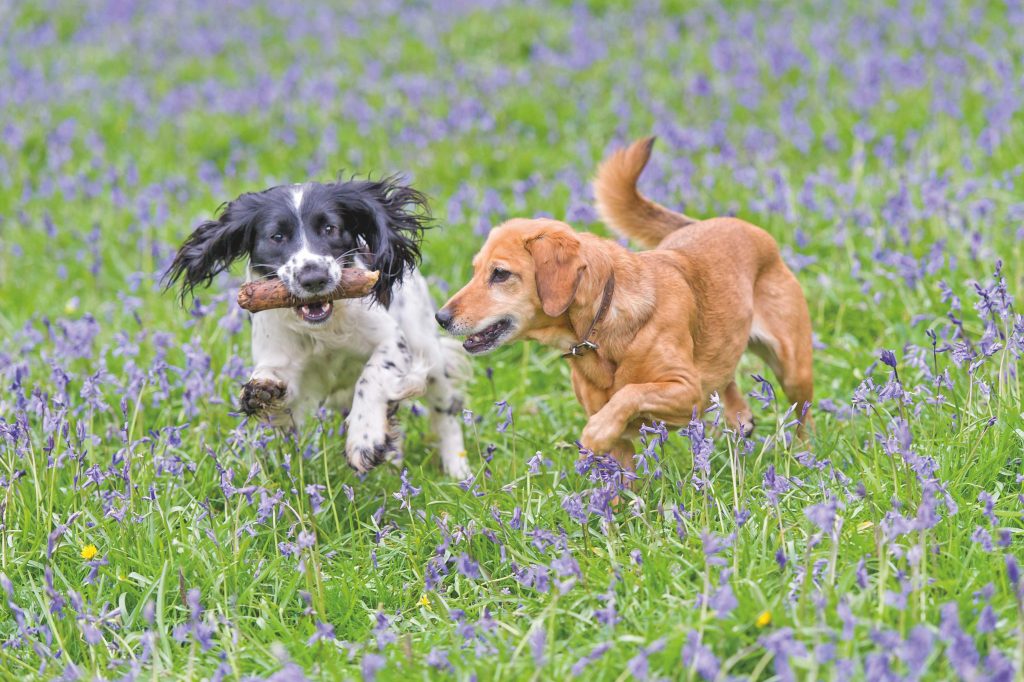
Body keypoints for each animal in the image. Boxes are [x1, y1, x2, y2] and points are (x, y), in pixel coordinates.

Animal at [163, 180, 471, 477]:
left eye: (329, 228)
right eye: (277, 236)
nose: (314, 277)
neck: (323, 331)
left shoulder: (391, 340)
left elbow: (371, 377)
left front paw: (364, 440)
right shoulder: (286, 366)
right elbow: (275, 387)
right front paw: (260, 391)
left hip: (428, 353)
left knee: (445, 413)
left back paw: (457, 470)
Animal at [436, 138, 811, 466]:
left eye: (500, 274)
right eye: (475, 270)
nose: (440, 317)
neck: (600, 323)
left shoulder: (685, 389)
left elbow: (629, 393)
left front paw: (596, 432)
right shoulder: (625, 440)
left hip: (794, 369)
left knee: (802, 417)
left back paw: (804, 458)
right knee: (728, 382)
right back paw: (741, 422)